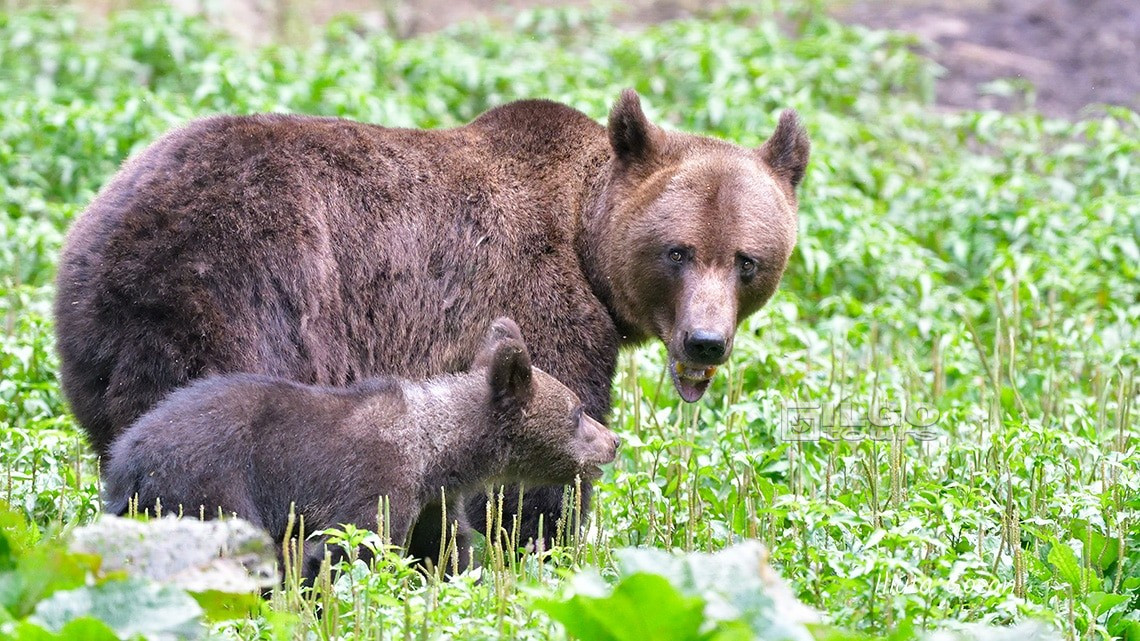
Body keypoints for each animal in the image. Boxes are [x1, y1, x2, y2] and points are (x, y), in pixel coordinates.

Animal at [55, 88, 809, 549]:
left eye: (746, 259)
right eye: (677, 251)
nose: (705, 342)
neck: (584, 234)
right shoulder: (538, 302)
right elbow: (529, 474)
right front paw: (533, 547)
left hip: (99, 356)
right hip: (239, 293)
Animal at [102, 318, 620, 581]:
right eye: (578, 411)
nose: (615, 441)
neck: (439, 451)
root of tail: (126, 462)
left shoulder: (433, 499)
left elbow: (446, 549)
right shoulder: (378, 481)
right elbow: (348, 548)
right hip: (210, 488)